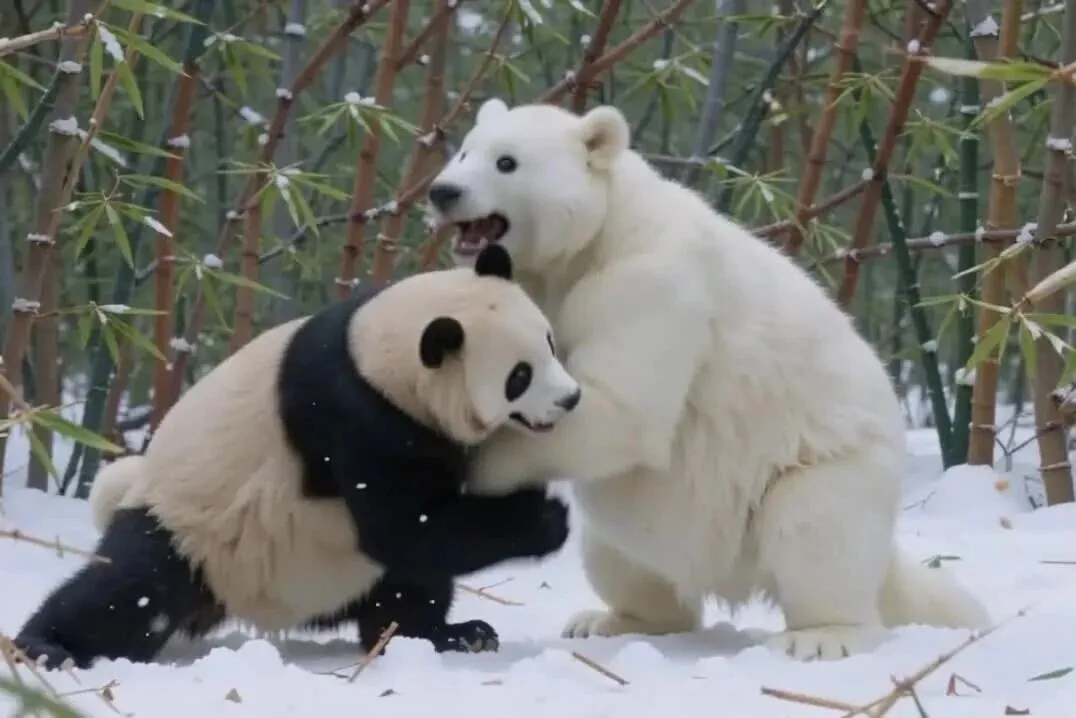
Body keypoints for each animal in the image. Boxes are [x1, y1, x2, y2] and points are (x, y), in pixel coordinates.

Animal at [422, 98, 992, 661]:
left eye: (507, 162)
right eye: (465, 152)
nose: (442, 191)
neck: (598, 235)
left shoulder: (646, 283)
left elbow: (620, 409)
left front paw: (481, 463)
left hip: (826, 461)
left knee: (815, 531)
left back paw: (822, 635)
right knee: (619, 555)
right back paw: (608, 620)